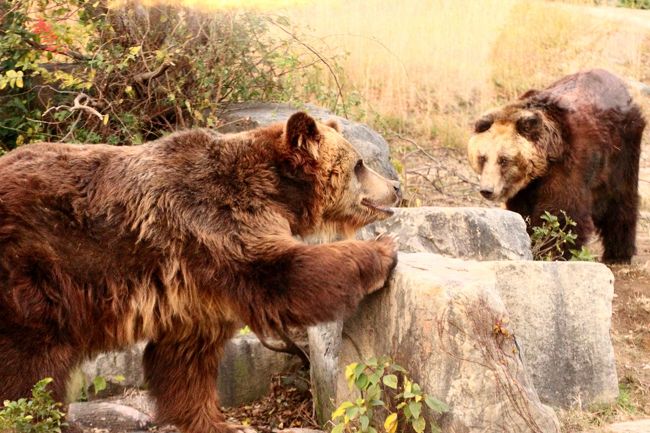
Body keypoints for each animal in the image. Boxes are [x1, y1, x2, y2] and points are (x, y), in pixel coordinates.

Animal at [0, 112, 400, 432]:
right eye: (359, 164)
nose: (395, 187)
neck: (276, 193)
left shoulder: (193, 284)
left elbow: (186, 360)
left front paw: (217, 421)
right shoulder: (216, 221)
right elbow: (284, 274)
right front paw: (383, 250)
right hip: (36, 274)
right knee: (28, 370)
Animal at [466, 69, 644, 262]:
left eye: (503, 159)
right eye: (482, 158)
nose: (487, 190)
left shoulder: (569, 165)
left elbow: (562, 211)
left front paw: (550, 251)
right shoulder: (526, 188)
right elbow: (523, 212)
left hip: (622, 148)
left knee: (620, 197)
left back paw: (618, 253)